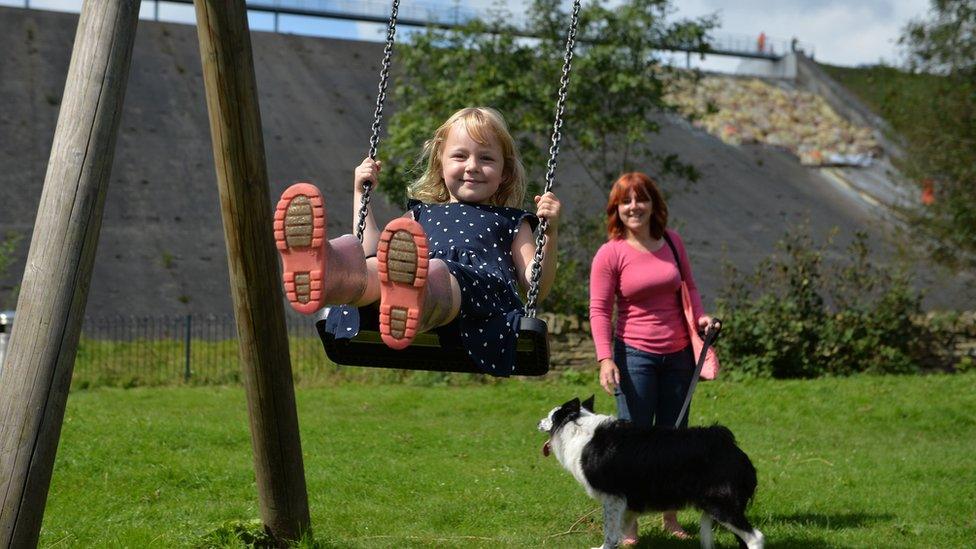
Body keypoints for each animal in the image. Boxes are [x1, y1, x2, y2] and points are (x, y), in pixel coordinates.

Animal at [540, 396, 764, 544]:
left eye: (550, 416)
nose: (537, 422)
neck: (578, 429)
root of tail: (731, 448)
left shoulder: (612, 496)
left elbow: (610, 532)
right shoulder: (627, 500)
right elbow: (622, 528)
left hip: (721, 504)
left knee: (756, 538)